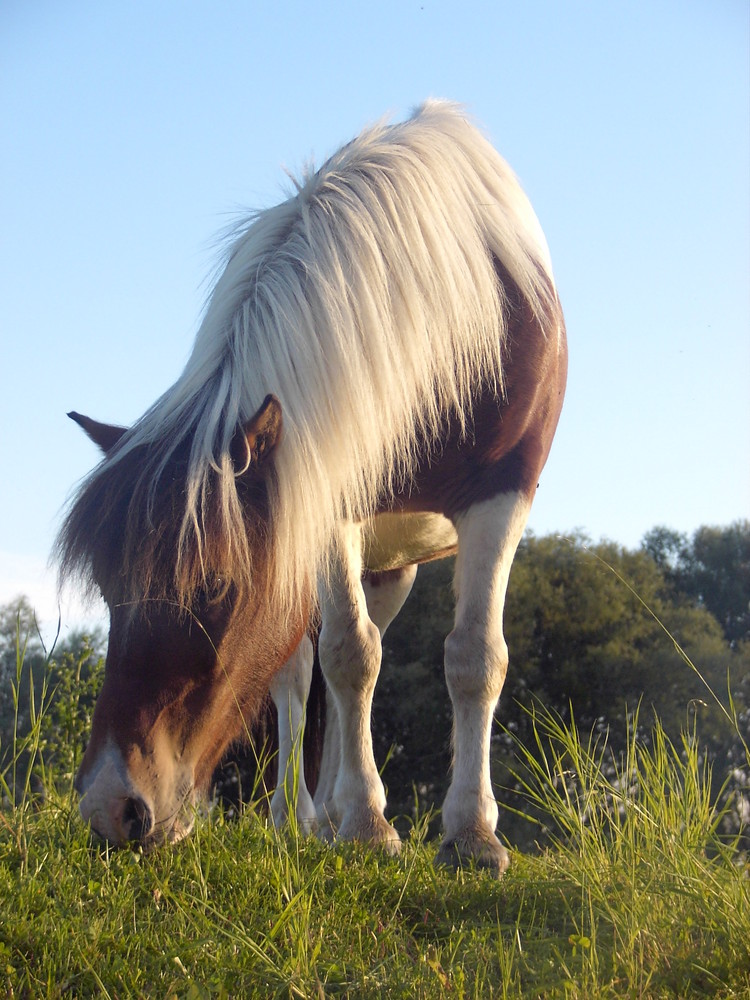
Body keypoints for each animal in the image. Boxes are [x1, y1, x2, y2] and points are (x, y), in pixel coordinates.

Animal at [57, 97, 564, 872]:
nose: (114, 809)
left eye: (215, 587)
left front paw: (471, 833)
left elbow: (473, 656)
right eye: (110, 591)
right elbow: (348, 658)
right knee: (303, 680)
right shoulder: (321, 504)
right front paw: (367, 824)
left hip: (393, 564)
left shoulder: (502, 495)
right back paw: (302, 816)